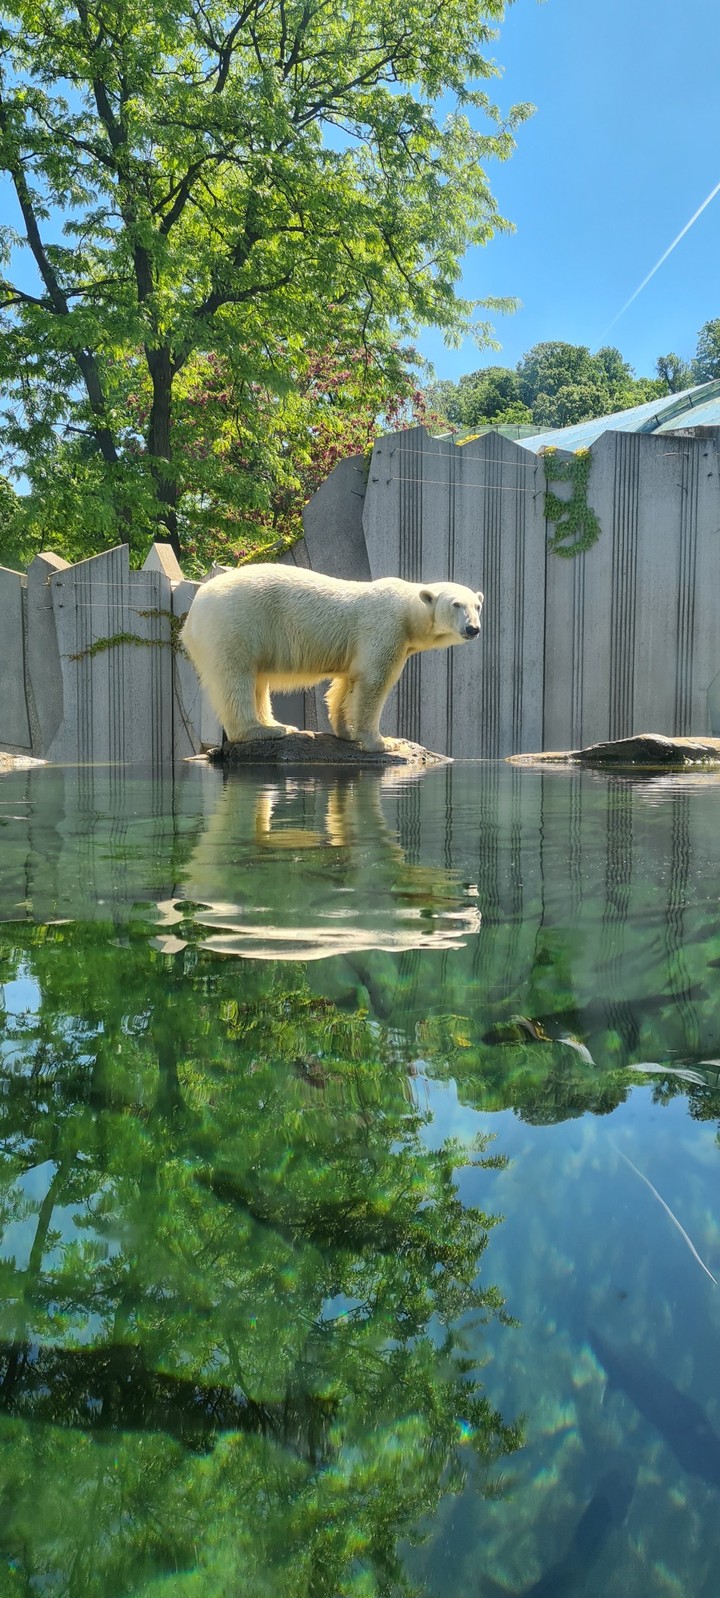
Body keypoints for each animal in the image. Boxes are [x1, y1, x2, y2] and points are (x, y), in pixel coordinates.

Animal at [180, 563, 483, 751]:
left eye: (477, 605)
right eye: (456, 604)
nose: (473, 629)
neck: (408, 612)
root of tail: (193, 611)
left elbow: (347, 683)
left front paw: (345, 732)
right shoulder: (385, 628)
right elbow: (373, 682)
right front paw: (382, 742)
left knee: (256, 680)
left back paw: (277, 724)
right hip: (234, 624)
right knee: (236, 678)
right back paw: (261, 730)